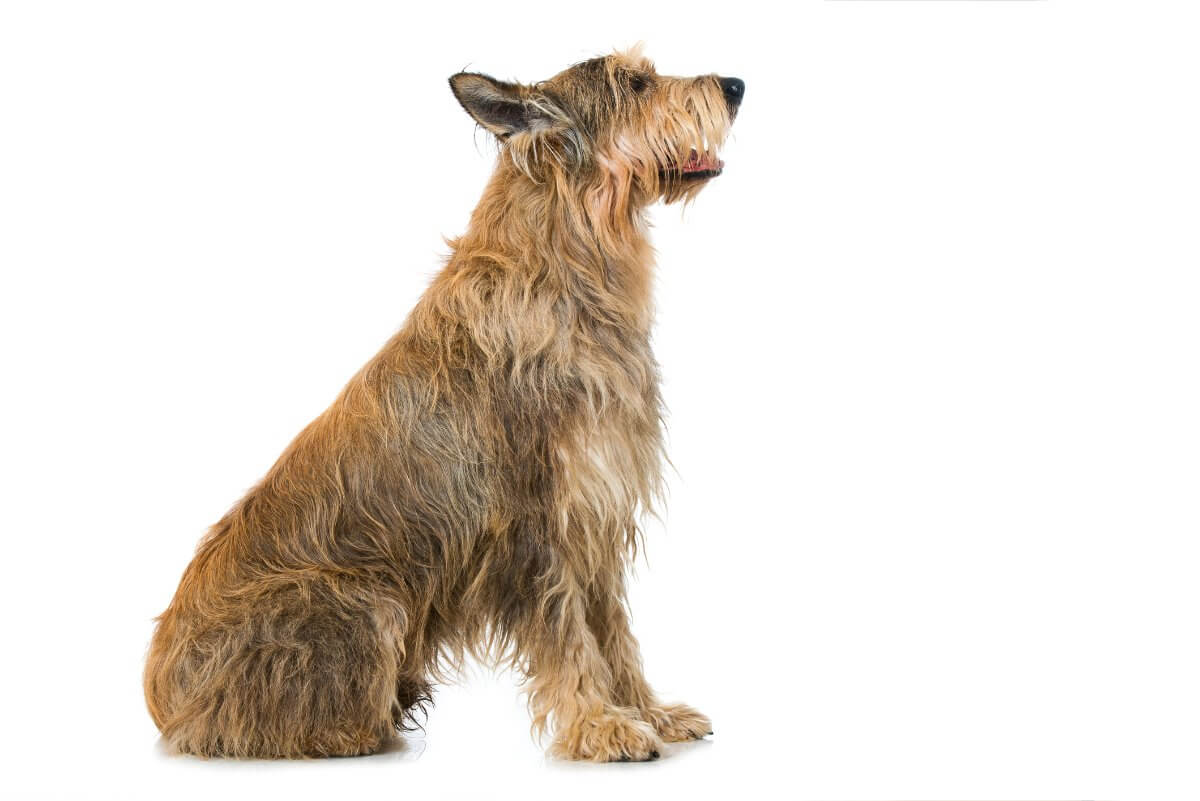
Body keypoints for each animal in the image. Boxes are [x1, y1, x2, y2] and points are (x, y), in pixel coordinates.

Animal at [145, 47, 744, 762]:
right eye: (635, 83)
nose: (736, 85)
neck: (567, 264)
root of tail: (162, 695)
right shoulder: (537, 522)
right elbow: (569, 634)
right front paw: (600, 726)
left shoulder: (593, 510)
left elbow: (613, 631)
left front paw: (647, 711)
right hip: (367, 603)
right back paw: (361, 728)